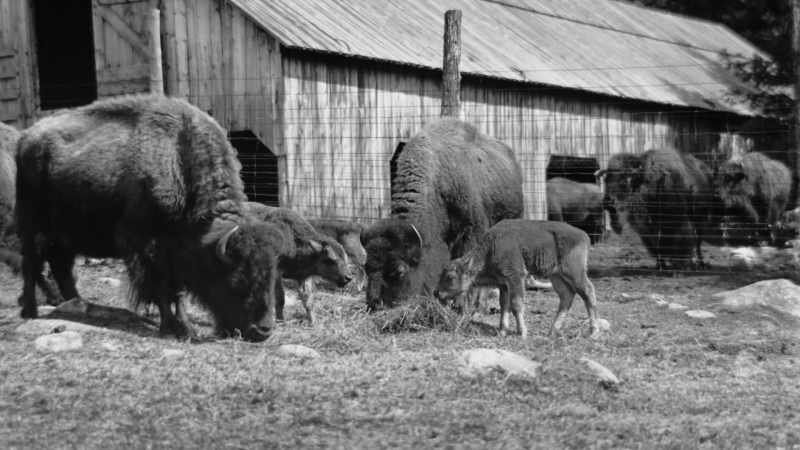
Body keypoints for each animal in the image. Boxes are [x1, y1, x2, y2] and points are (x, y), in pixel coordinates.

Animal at [16, 95, 283, 341]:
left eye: (270, 278)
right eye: (237, 278)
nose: (263, 331)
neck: (178, 157)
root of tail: (26, 138)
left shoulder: (175, 254)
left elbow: (177, 291)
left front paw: (186, 328)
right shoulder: (146, 246)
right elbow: (161, 288)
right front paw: (172, 328)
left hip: (66, 234)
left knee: (60, 266)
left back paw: (78, 305)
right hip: (32, 226)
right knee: (31, 265)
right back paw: (30, 311)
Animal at [434, 219, 600, 338]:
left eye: (450, 277)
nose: (437, 293)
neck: (490, 248)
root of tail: (584, 235)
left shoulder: (515, 277)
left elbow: (516, 304)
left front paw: (522, 332)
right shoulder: (503, 284)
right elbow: (504, 305)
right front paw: (502, 331)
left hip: (574, 273)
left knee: (588, 291)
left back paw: (593, 332)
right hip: (556, 276)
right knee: (567, 296)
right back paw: (552, 331)